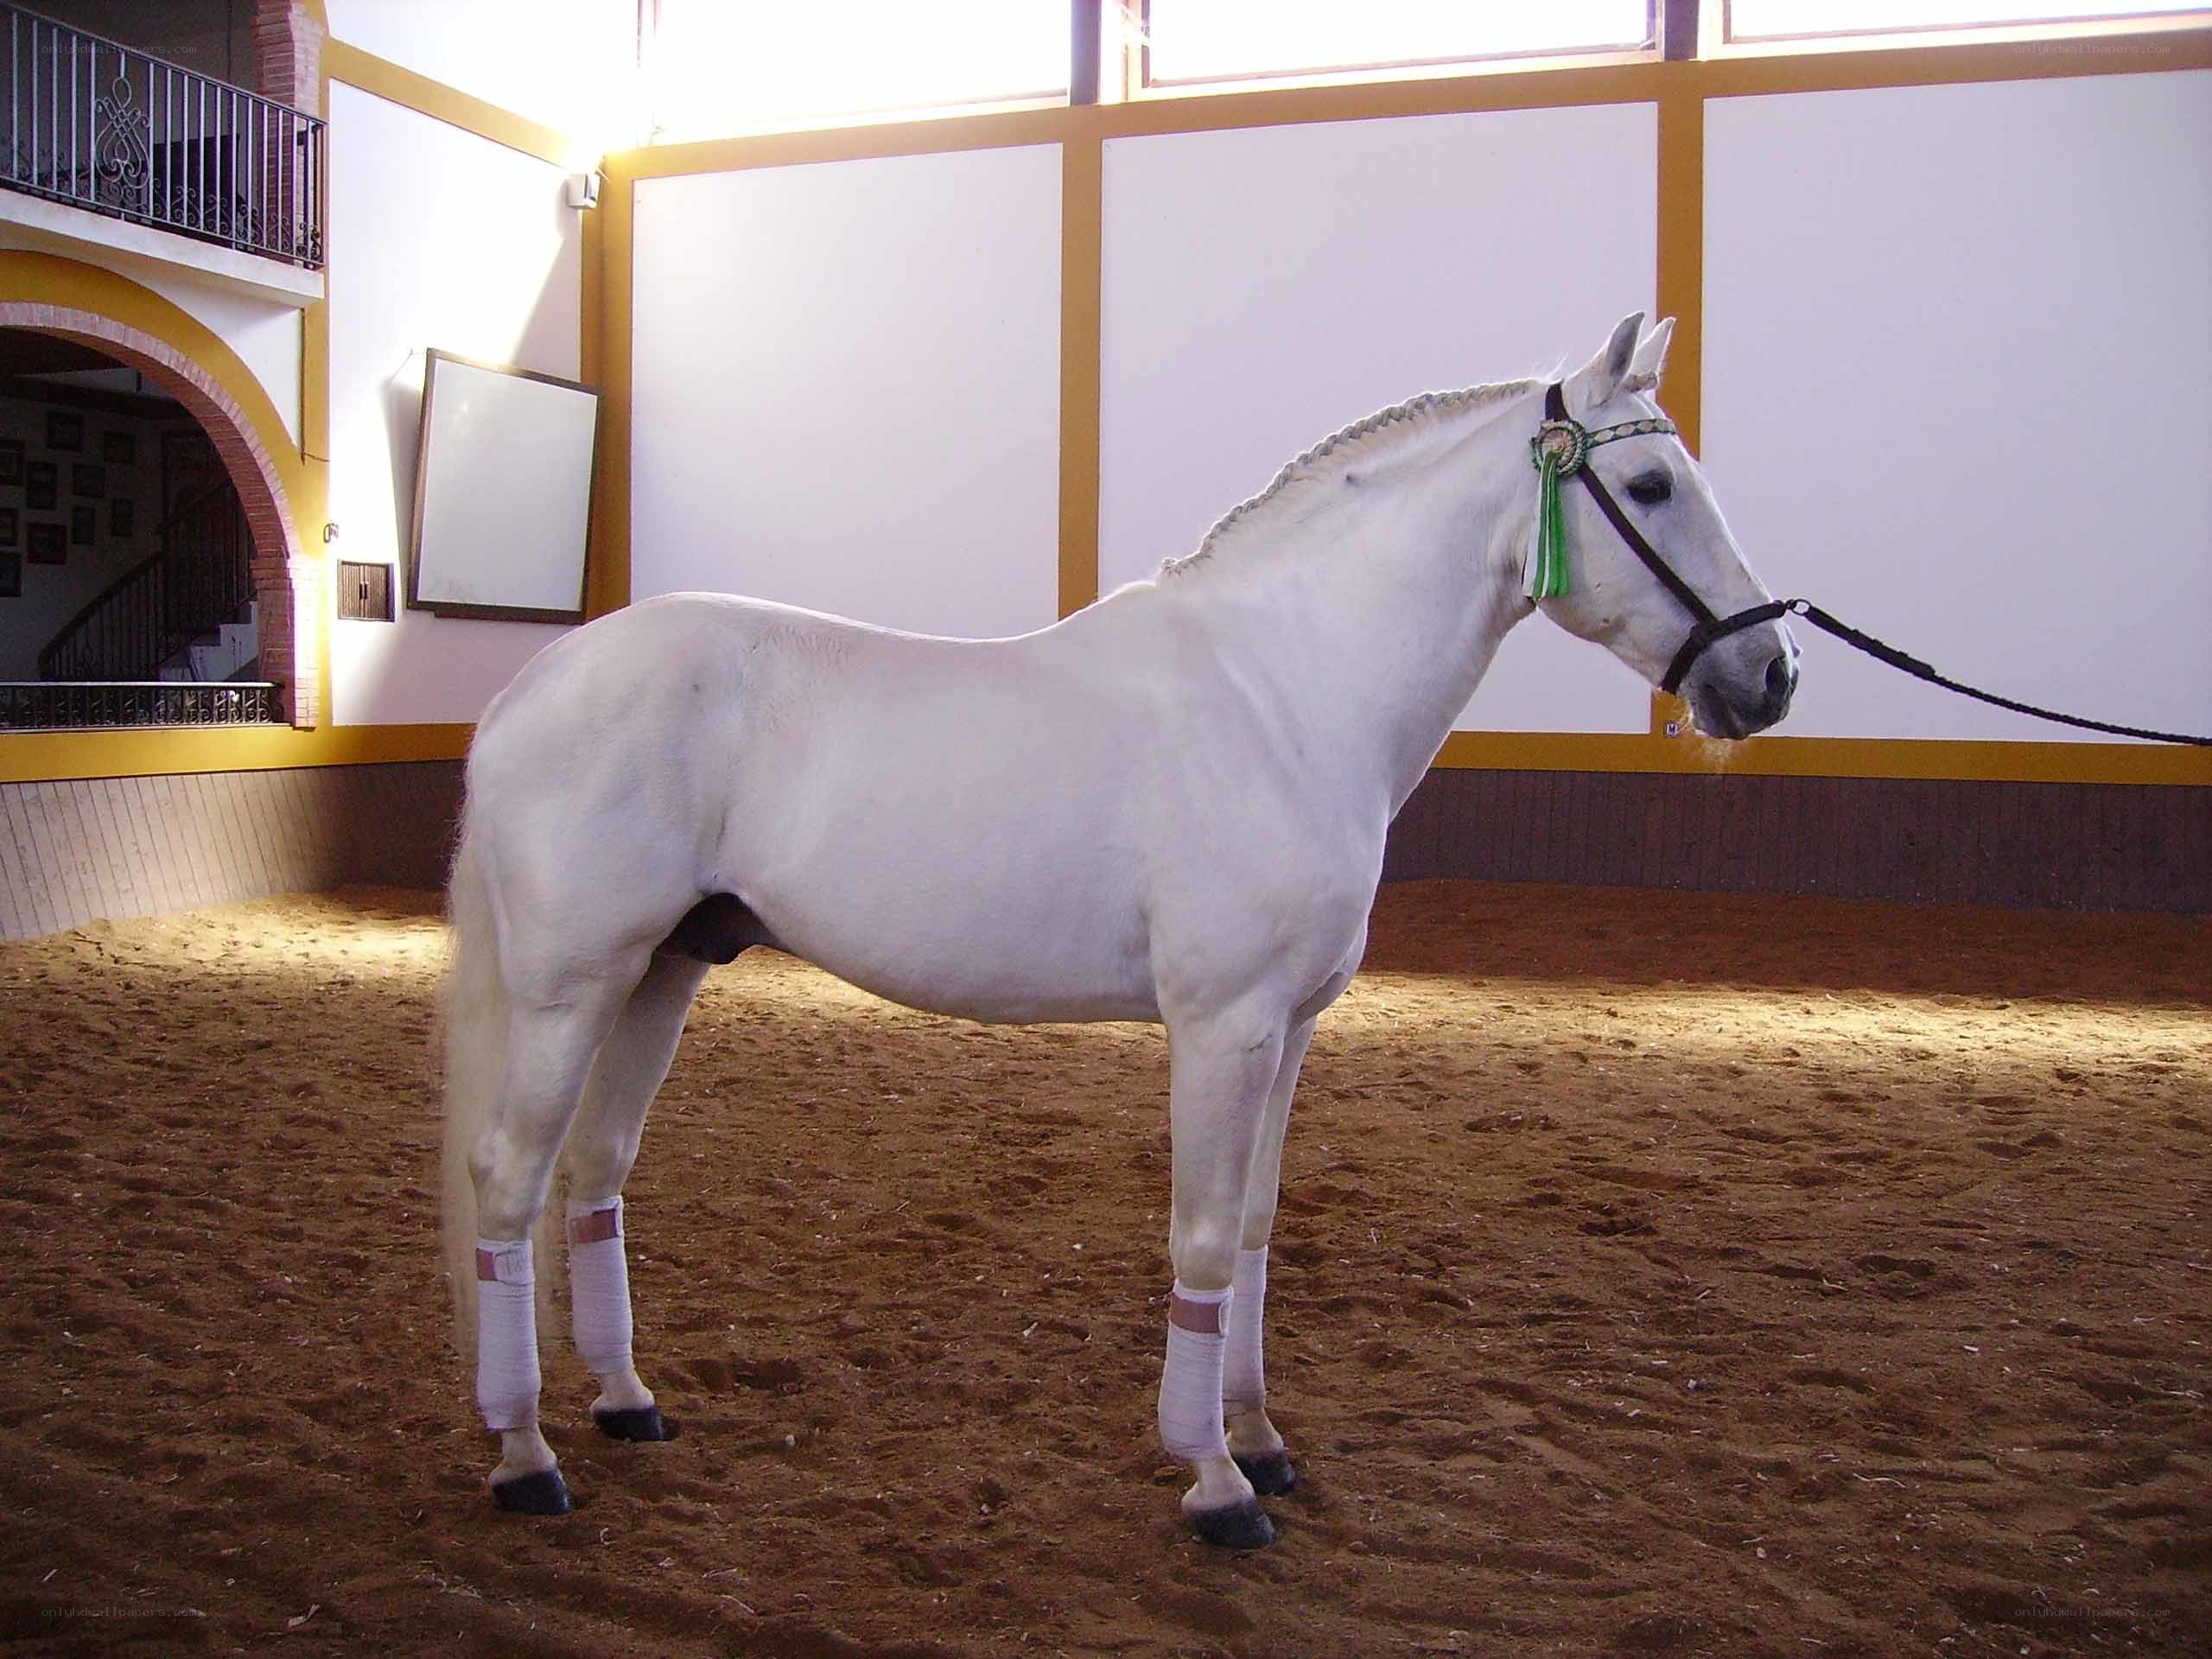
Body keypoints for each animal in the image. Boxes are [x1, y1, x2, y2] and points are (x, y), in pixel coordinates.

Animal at [439, 312, 1799, 1549]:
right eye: (1650, 486)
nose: (1772, 677)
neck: (1283, 694)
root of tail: (531, 687)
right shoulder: (1222, 1027)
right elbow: (1197, 1236)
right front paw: (1215, 1482)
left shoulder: (1290, 1031)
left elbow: (1250, 1231)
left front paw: (1262, 1438)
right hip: (574, 986)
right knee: (508, 1178)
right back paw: (524, 1456)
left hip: (665, 971)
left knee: (594, 1173)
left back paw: (625, 1402)